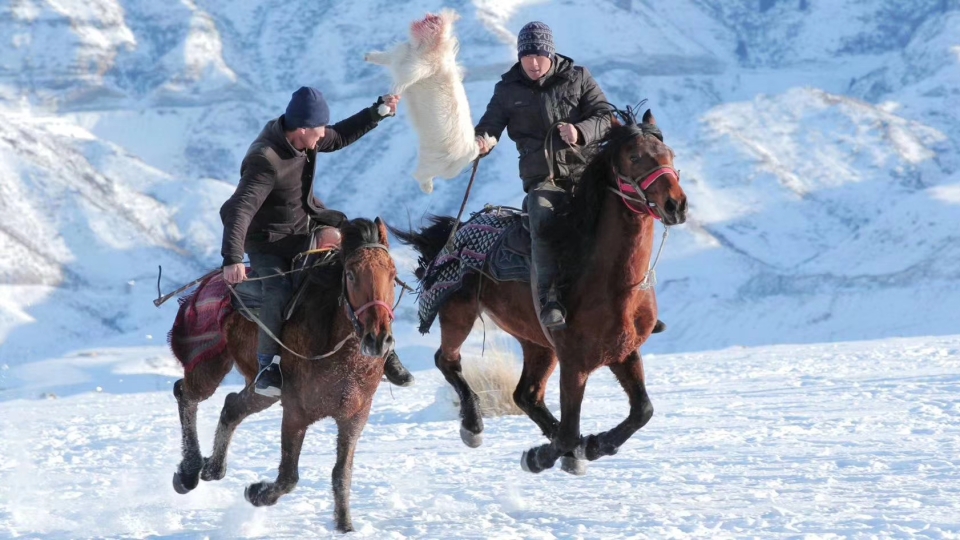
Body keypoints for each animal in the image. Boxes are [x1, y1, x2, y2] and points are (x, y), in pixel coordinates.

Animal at [170, 216, 398, 532]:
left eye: (393, 274)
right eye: (351, 275)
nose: (378, 340)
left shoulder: (355, 416)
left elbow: (342, 474)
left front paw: (345, 526)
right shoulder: (295, 411)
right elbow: (290, 476)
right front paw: (257, 493)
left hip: (261, 391)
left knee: (231, 406)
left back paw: (213, 468)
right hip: (210, 365)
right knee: (186, 394)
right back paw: (189, 472)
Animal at [394, 108, 688, 472]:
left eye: (670, 155)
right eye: (634, 156)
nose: (676, 205)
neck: (612, 285)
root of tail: (457, 229)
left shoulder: (625, 352)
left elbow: (642, 411)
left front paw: (593, 445)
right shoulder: (574, 362)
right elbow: (570, 431)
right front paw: (546, 455)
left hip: (536, 342)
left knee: (527, 394)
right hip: (459, 314)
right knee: (447, 360)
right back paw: (474, 426)